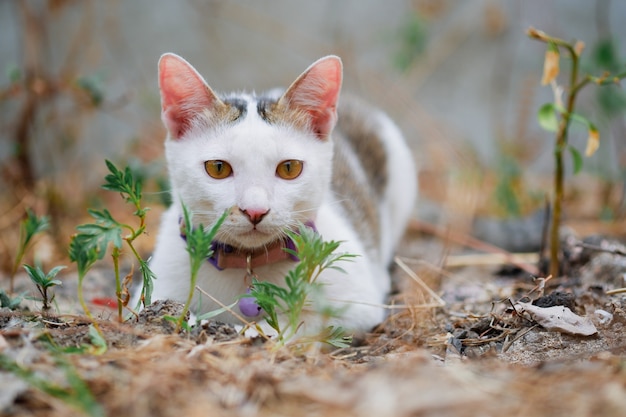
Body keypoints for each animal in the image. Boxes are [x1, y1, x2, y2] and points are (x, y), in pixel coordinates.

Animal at [141, 52, 414, 332]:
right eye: (217, 168)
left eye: (289, 168)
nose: (255, 210)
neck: (247, 261)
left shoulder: (358, 306)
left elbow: (296, 323)